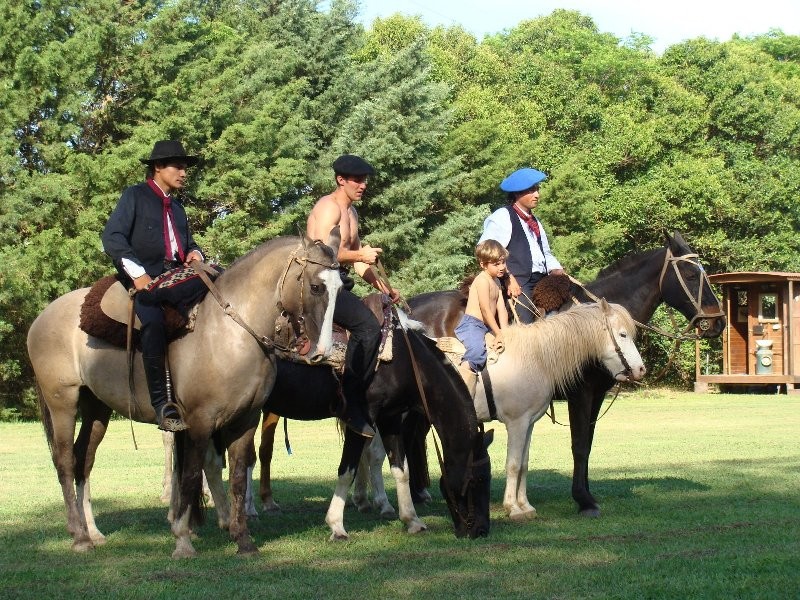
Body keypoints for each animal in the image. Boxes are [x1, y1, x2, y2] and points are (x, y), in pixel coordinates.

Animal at [27, 233, 340, 556]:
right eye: (316, 287)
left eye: (341, 287)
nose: (322, 351)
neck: (230, 332)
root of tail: (42, 317)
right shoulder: (199, 421)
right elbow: (190, 474)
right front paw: (182, 539)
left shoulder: (245, 421)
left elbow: (238, 476)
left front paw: (242, 539)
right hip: (62, 402)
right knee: (65, 461)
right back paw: (78, 536)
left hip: (97, 408)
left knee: (83, 460)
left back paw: (93, 532)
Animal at [260, 324, 494, 540]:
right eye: (478, 479)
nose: (481, 530)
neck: (406, 363)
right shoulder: (362, 419)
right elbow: (348, 470)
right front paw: (336, 525)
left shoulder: (390, 417)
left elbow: (401, 469)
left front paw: (412, 520)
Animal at [406, 230, 724, 516]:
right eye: (691, 275)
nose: (717, 322)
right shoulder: (581, 394)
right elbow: (579, 445)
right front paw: (584, 500)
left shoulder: (596, 395)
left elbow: (587, 444)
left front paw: (585, 494)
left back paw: (419, 493)